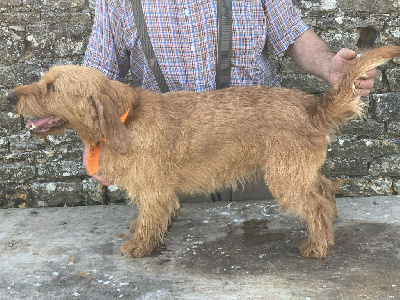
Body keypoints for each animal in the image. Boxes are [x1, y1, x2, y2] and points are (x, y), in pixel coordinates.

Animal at [8, 45, 400, 258]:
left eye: (51, 86)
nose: (10, 96)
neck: (125, 118)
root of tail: (312, 105)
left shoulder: (154, 189)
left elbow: (150, 218)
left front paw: (140, 245)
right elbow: (148, 215)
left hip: (285, 178)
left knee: (315, 203)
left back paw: (317, 246)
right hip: (297, 171)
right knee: (326, 188)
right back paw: (329, 228)